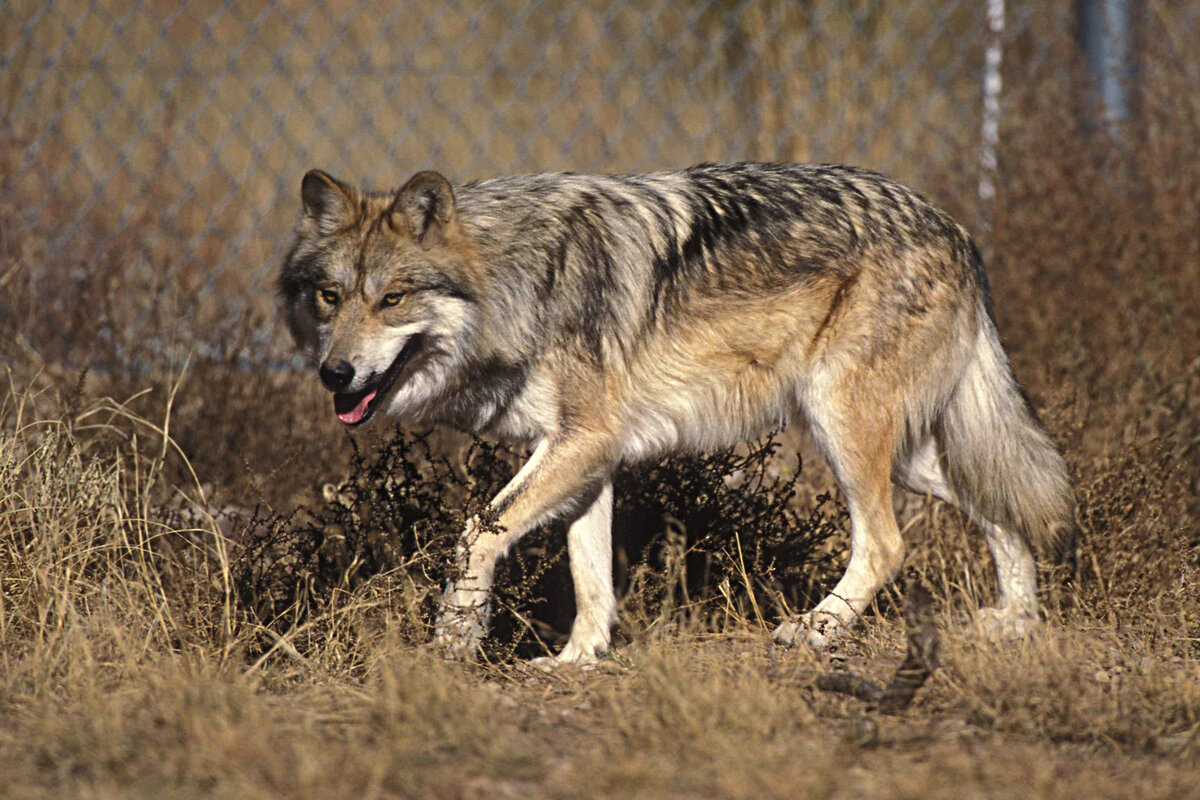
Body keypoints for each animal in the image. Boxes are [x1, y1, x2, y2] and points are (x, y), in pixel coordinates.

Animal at [280, 160, 1080, 662]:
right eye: (329, 296)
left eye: (392, 299)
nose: (334, 373)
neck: (518, 284)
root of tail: (957, 229)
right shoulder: (588, 457)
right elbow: (590, 575)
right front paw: (577, 659)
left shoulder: (582, 443)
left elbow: (478, 532)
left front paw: (456, 638)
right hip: (909, 454)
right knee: (1002, 504)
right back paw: (1017, 623)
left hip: (844, 431)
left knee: (886, 545)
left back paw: (816, 631)